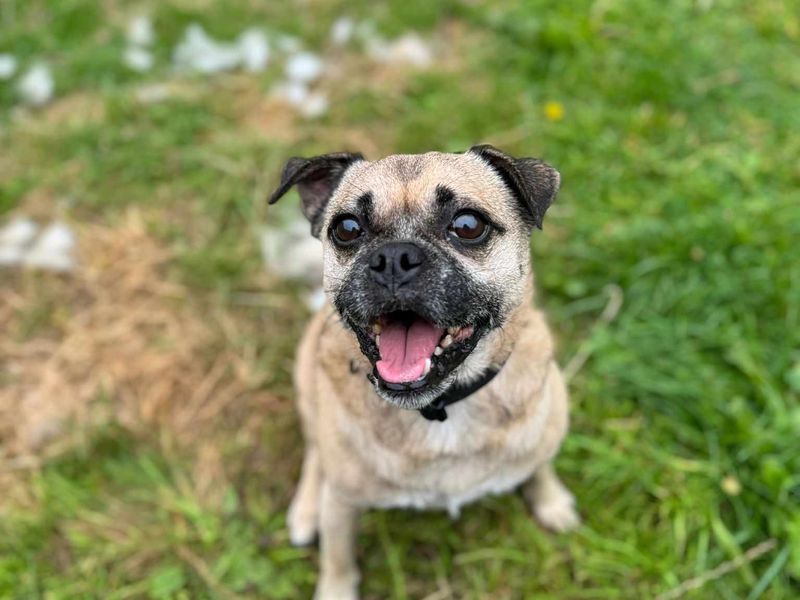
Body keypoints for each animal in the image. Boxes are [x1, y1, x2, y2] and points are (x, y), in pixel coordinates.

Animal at [272, 146, 580, 600]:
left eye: (468, 226)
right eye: (346, 229)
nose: (393, 258)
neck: (441, 408)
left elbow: (540, 467)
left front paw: (552, 502)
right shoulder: (342, 503)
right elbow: (338, 560)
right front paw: (335, 588)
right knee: (315, 450)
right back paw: (306, 509)